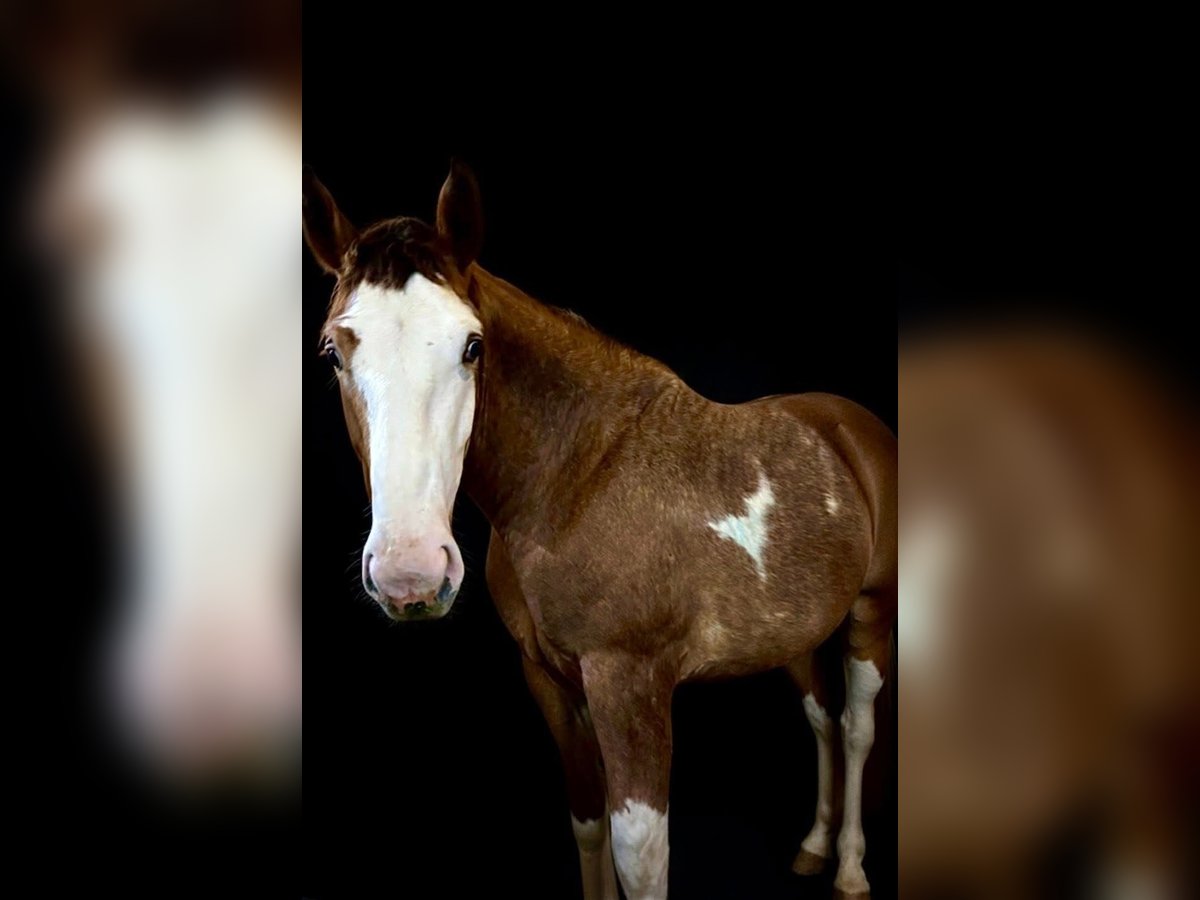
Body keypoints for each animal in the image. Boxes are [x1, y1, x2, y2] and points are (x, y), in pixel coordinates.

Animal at [303, 162, 897, 900]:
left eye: (473, 346)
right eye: (333, 351)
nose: (411, 572)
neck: (577, 480)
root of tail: (850, 426)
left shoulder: (629, 685)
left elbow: (638, 854)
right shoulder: (551, 682)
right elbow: (589, 826)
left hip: (872, 614)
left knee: (859, 728)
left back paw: (849, 868)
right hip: (795, 632)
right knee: (822, 718)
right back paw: (814, 847)